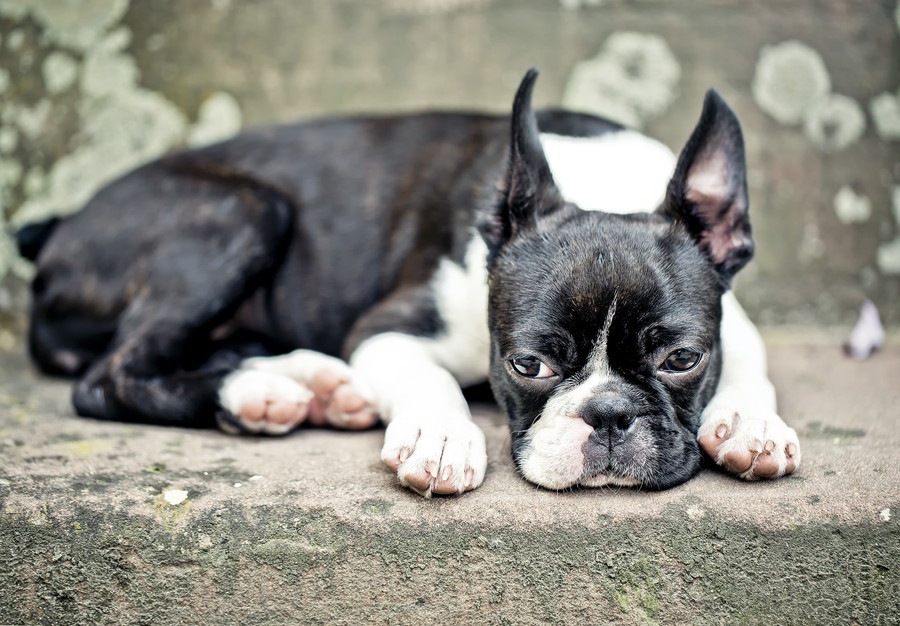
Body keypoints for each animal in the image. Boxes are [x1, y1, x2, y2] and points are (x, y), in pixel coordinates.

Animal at [15, 70, 800, 494]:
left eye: (682, 359)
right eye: (529, 365)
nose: (608, 416)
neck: (600, 186)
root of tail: (55, 231)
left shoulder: (732, 319)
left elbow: (751, 361)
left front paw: (751, 423)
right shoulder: (389, 328)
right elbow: (432, 378)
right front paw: (442, 437)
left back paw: (307, 381)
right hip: (243, 212)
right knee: (110, 376)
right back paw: (257, 392)